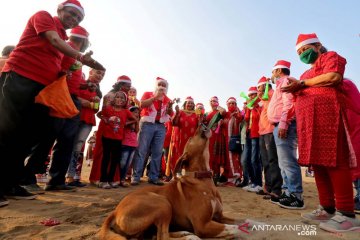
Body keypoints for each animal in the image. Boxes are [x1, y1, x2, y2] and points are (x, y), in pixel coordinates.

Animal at [98, 124, 245, 239]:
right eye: (190, 138)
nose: (202, 123)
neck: (202, 179)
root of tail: (115, 211)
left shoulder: (219, 216)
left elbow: (243, 220)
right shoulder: (202, 225)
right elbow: (235, 228)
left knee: (156, 235)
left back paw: (185, 233)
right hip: (162, 203)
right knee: (162, 236)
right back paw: (190, 237)